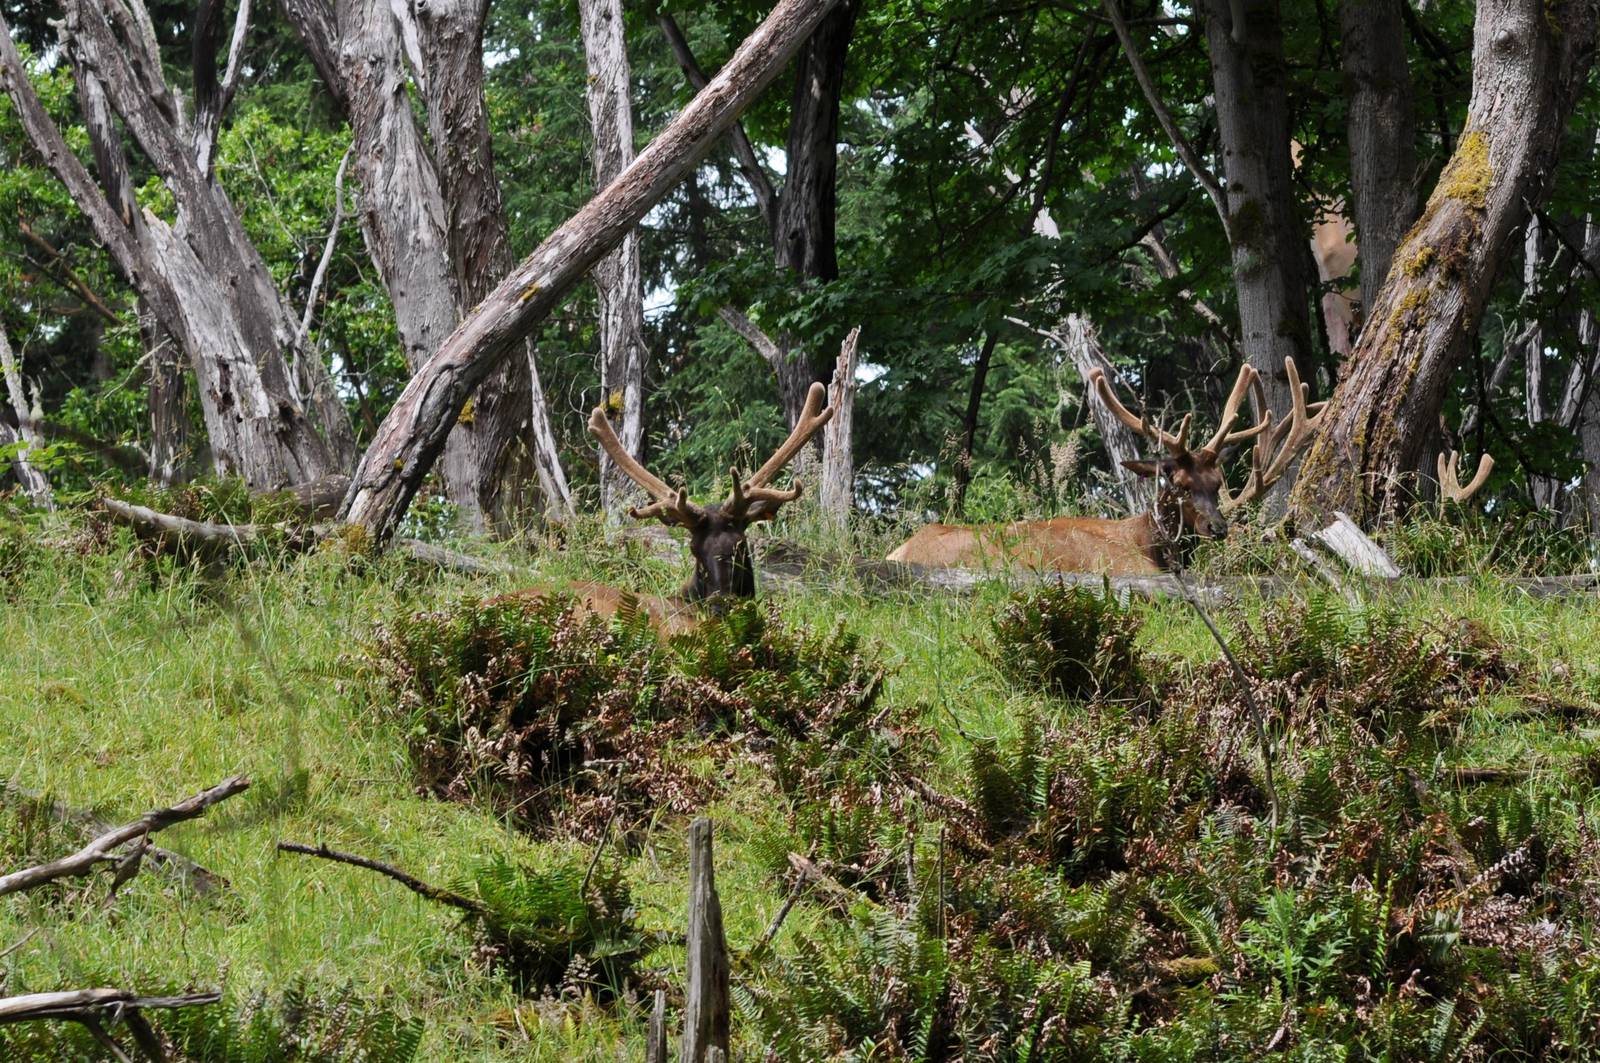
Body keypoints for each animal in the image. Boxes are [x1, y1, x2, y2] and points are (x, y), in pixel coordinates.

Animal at [886, 358, 1328, 575]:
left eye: (1217, 483)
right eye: (1179, 483)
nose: (1217, 527)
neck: (1148, 543)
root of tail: (899, 552)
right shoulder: (1127, 567)